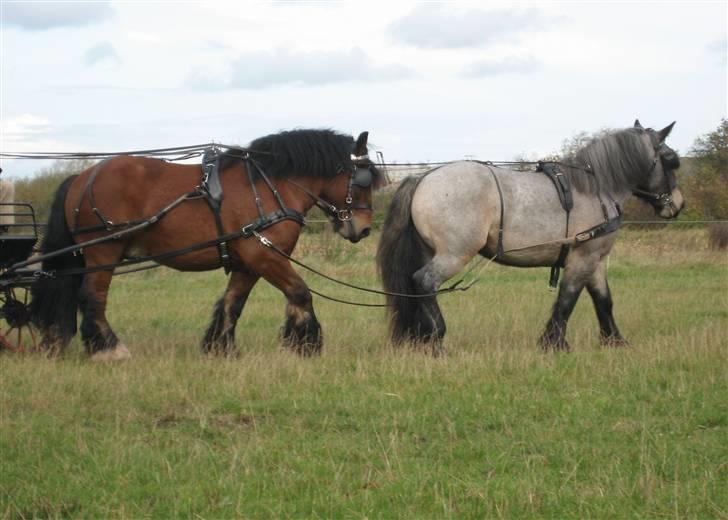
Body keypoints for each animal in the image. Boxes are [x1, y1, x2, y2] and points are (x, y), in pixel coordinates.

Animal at [31, 128, 384, 360]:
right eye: (363, 180)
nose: (364, 228)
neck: (269, 187)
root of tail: (82, 178)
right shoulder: (265, 256)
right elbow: (300, 292)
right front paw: (305, 344)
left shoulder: (248, 262)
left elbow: (232, 304)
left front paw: (220, 348)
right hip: (103, 250)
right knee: (92, 297)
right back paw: (109, 348)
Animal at [378, 120, 684, 352]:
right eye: (671, 161)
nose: (678, 204)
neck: (595, 190)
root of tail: (423, 178)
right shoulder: (583, 258)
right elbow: (567, 300)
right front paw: (554, 343)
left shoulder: (594, 260)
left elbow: (604, 301)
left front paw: (615, 341)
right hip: (454, 254)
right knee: (424, 282)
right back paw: (437, 340)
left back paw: (422, 339)